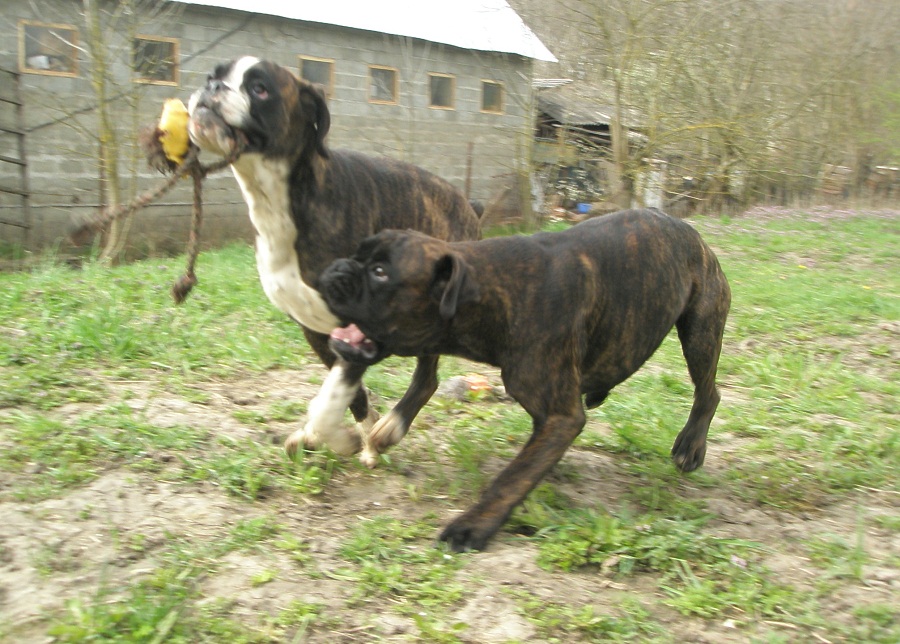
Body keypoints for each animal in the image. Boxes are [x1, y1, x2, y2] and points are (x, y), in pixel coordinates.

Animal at [187, 57, 482, 465]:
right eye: (213, 76)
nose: (211, 87)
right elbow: (349, 391)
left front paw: (334, 435)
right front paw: (348, 435)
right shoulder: (314, 330)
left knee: (428, 377)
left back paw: (391, 427)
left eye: (260, 89)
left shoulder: (364, 325)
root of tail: (468, 205)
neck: (280, 199)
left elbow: (333, 396)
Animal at [319, 208, 731, 551]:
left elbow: (510, 477)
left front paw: (473, 526)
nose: (336, 267)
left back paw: (691, 445)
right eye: (356, 255)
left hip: (700, 332)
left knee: (708, 392)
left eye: (380, 272)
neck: (497, 290)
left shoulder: (561, 417)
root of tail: (696, 236)